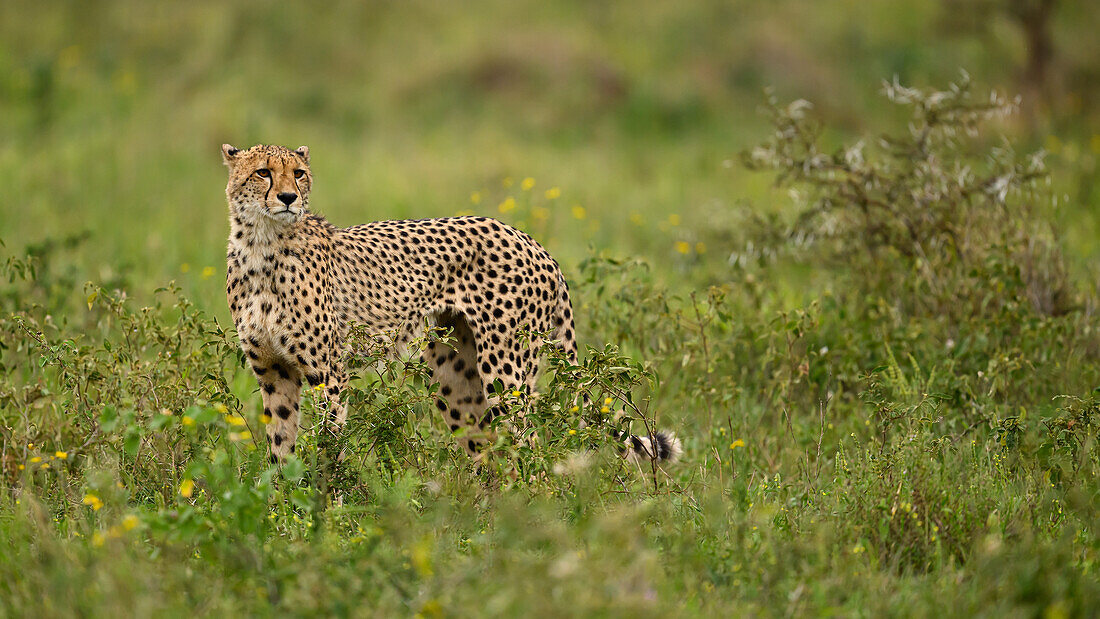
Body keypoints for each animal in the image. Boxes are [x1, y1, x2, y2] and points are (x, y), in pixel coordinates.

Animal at [218, 144, 677, 466]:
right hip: (456, 376)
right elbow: (280, 447)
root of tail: (530, 240)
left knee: (529, 447)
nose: (288, 197)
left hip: (506, 371)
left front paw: (326, 509)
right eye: (263, 172)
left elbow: (330, 445)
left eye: (298, 173)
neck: (261, 246)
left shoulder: (327, 372)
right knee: (489, 452)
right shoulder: (274, 372)